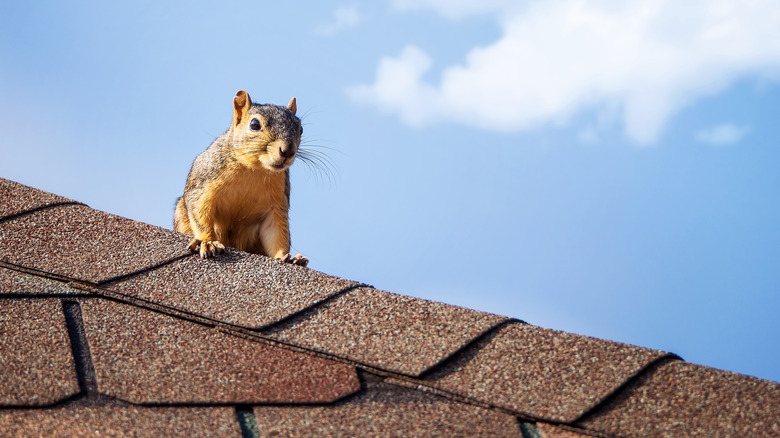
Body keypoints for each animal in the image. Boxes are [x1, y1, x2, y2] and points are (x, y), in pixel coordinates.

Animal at [175, 90, 310, 266]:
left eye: (301, 129)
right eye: (254, 124)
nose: (287, 151)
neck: (254, 169)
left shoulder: (276, 203)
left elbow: (276, 232)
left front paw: (285, 257)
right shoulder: (204, 183)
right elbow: (200, 211)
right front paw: (208, 241)